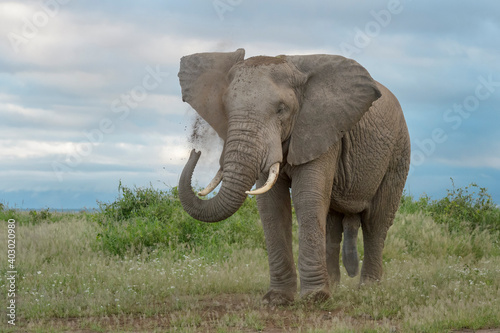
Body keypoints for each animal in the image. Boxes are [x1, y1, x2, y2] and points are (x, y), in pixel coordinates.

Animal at [176, 47, 410, 304]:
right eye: (225, 108)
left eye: (281, 110)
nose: (195, 151)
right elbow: (271, 204)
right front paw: (278, 299)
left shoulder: (321, 128)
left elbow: (307, 197)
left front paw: (315, 298)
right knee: (332, 223)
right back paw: (335, 286)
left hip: (398, 152)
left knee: (376, 220)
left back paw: (368, 288)